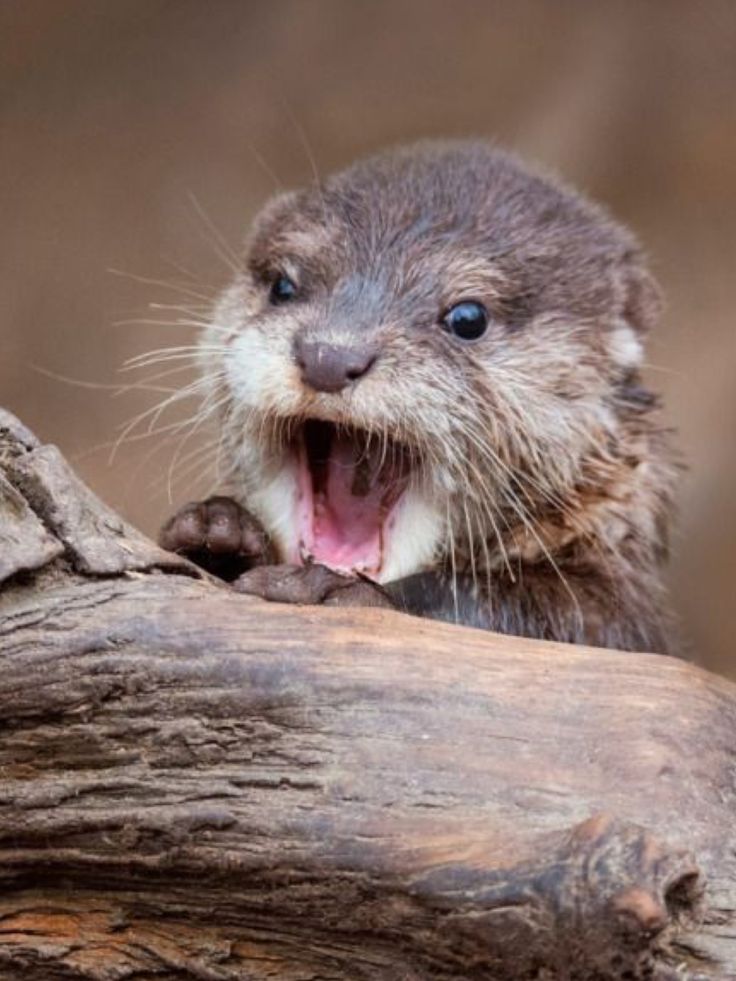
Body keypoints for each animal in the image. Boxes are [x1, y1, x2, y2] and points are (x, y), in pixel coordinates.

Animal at [160, 140, 680, 652]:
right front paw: (219, 529)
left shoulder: (618, 610)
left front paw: (337, 590)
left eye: (468, 318)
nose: (328, 355)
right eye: (283, 286)